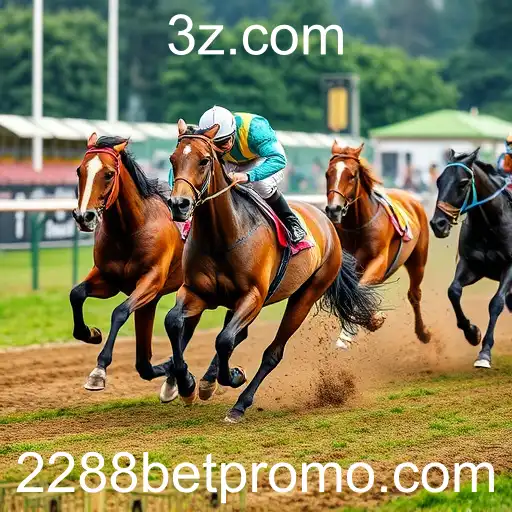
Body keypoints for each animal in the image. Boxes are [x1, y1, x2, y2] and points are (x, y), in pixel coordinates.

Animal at [71, 133, 184, 395]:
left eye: (108, 174)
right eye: (80, 171)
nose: (84, 217)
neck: (131, 229)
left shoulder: (151, 280)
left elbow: (120, 312)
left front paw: (99, 371)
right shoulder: (109, 279)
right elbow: (77, 293)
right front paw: (90, 333)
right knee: (144, 362)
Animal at [163, 120, 382, 423]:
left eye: (204, 160)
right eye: (173, 159)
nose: (179, 204)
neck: (221, 236)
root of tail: (328, 223)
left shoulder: (253, 296)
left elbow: (225, 339)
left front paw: (233, 376)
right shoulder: (196, 291)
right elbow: (174, 322)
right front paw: (186, 385)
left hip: (306, 295)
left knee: (272, 352)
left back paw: (240, 403)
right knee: (236, 335)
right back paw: (207, 382)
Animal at [324, 142, 431, 344]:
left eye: (352, 175)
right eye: (328, 174)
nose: (334, 209)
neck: (358, 226)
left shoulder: (379, 261)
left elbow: (361, 288)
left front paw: (373, 320)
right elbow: (348, 293)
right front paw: (352, 331)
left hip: (418, 261)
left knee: (415, 294)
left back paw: (423, 333)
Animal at [430, 148, 512, 369]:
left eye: (463, 183)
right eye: (439, 181)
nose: (438, 224)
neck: (490, 225)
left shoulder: (510, 267)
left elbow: (496, 303)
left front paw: (484, 353)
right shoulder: (471, 265)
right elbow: (454, 291)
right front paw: (472, 332)